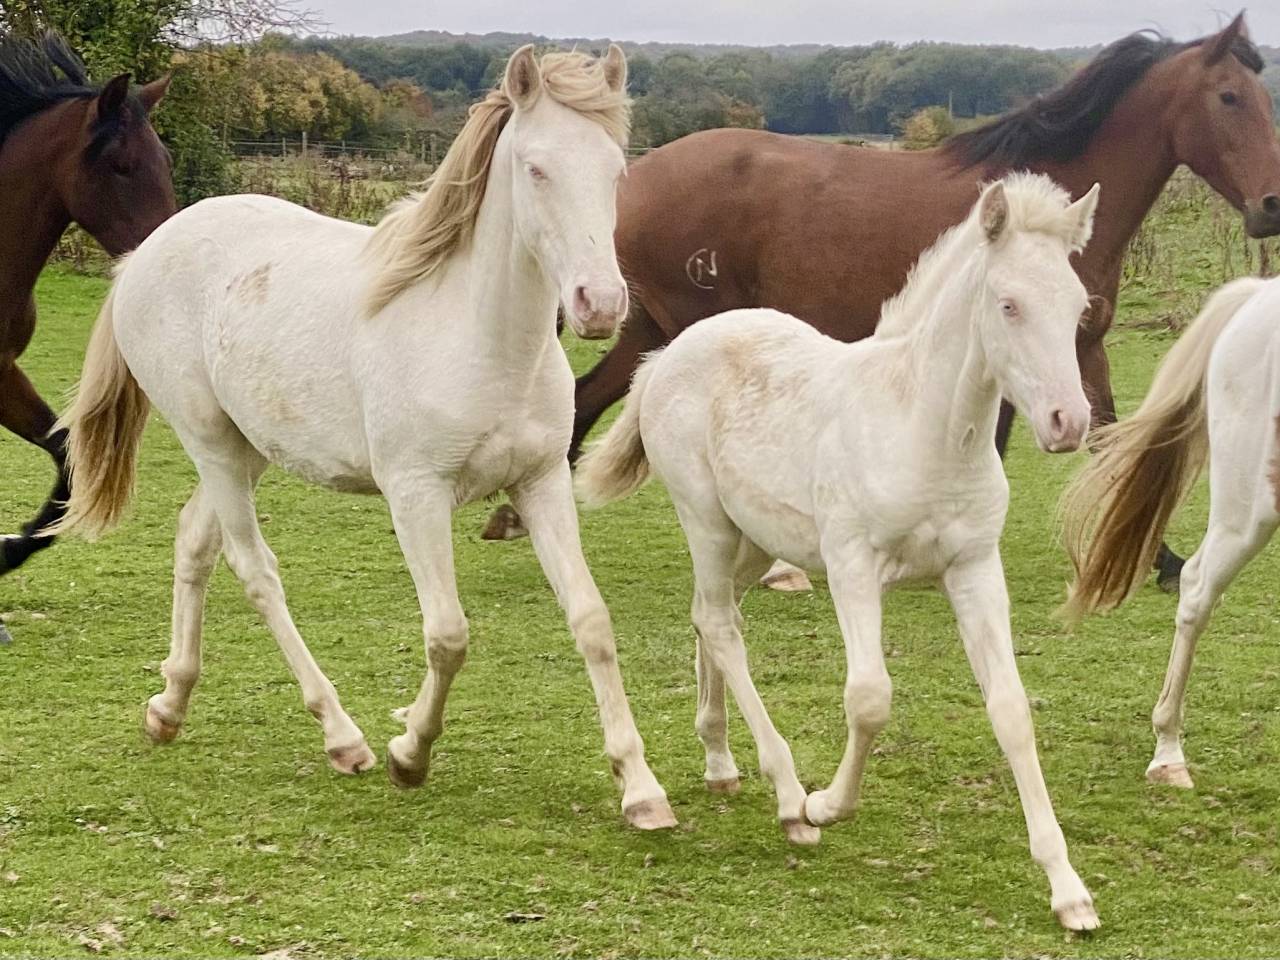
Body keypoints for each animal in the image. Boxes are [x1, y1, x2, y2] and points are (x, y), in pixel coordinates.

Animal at [51, 45, 678, 831]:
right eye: (536, 168)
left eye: (616, 171)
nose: (600, 305)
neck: (477, 336)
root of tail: (146, 252)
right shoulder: (415, 496)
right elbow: (448, 634)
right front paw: (410, 753)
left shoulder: (540, 483)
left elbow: (591, 621)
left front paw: (641, 787)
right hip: (211, 443)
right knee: (254, 569)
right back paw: (341, 736)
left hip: (249, 449)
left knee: (194, 541)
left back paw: (170, 705)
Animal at [489, 13, 1280, 595]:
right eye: (1230, 97)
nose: (1271, 206)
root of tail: (631, 181)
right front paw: (1161, 560)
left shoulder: (1069, 347)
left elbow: (1098, 437)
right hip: (687, 330)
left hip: (647, 325)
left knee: (587, 397)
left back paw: (510, 519)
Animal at [578, 173, 1102, 930]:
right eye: (1008, 305)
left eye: (1078, 306)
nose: (1068, 422)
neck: (923, 430)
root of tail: (667, 356)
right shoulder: (855, 565)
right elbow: (870, 697)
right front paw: (827, 803)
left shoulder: (975, 569)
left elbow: (1011, 709)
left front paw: (1068, 889)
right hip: (705, 518)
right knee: (721, 625)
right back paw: (788, 796)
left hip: (753, 538)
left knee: (708, 614)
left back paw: (720, 760)